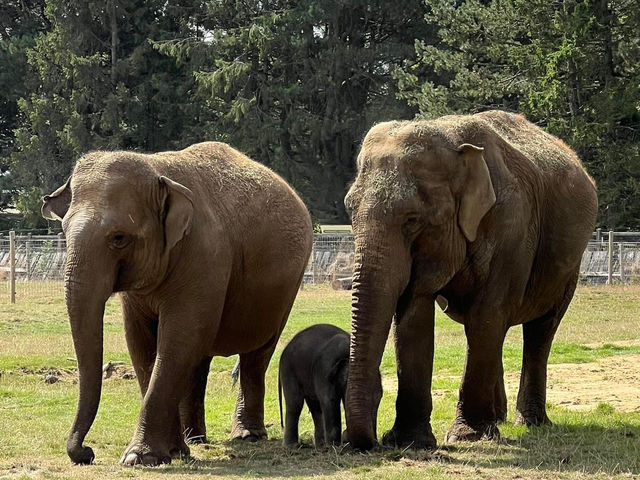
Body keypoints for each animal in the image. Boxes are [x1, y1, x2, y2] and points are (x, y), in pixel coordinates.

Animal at [42, 141, 312, 464]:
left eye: (119, 238)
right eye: (64, 232)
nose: (87, 453)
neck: (157, 169)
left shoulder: (204, 257)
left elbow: (177, 338)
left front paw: (140, 458)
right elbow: (142, 343)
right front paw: (171, 453)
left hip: (286, 289)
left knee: (256, 354)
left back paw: (247, 436)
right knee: (200, 356)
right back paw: (194, 439)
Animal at [342, 111, 596, 450]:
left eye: (412, 219)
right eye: (349, 211)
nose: (368, 439)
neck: (452, 137)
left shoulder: (513, 230)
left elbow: (485, 315)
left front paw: (468, 436)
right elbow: (414, 316)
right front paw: (411, 442)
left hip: (569, 267)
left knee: (540, 329)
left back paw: (528, 422)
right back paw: (498, 419)